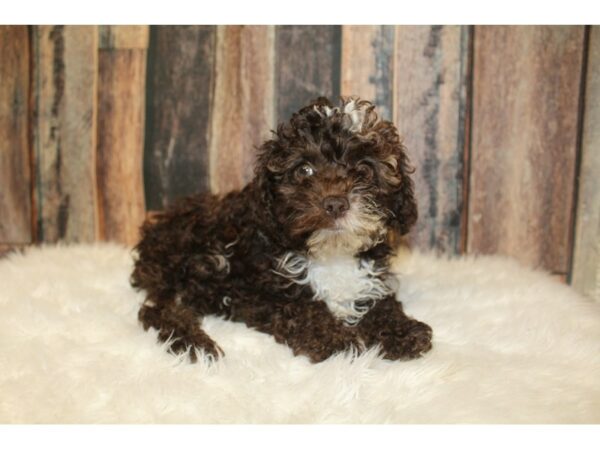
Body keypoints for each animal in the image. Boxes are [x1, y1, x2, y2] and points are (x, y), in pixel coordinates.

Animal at [130, 96, 432, 364]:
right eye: (304, 170)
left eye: (365, 170)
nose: (335, 203)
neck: (332, 254)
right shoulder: (258, 292)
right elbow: (302, 309)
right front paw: (337, 340)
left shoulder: (371, 277)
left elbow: (380, 302)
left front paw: (403, 332)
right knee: (159, 310)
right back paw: (195, 345)